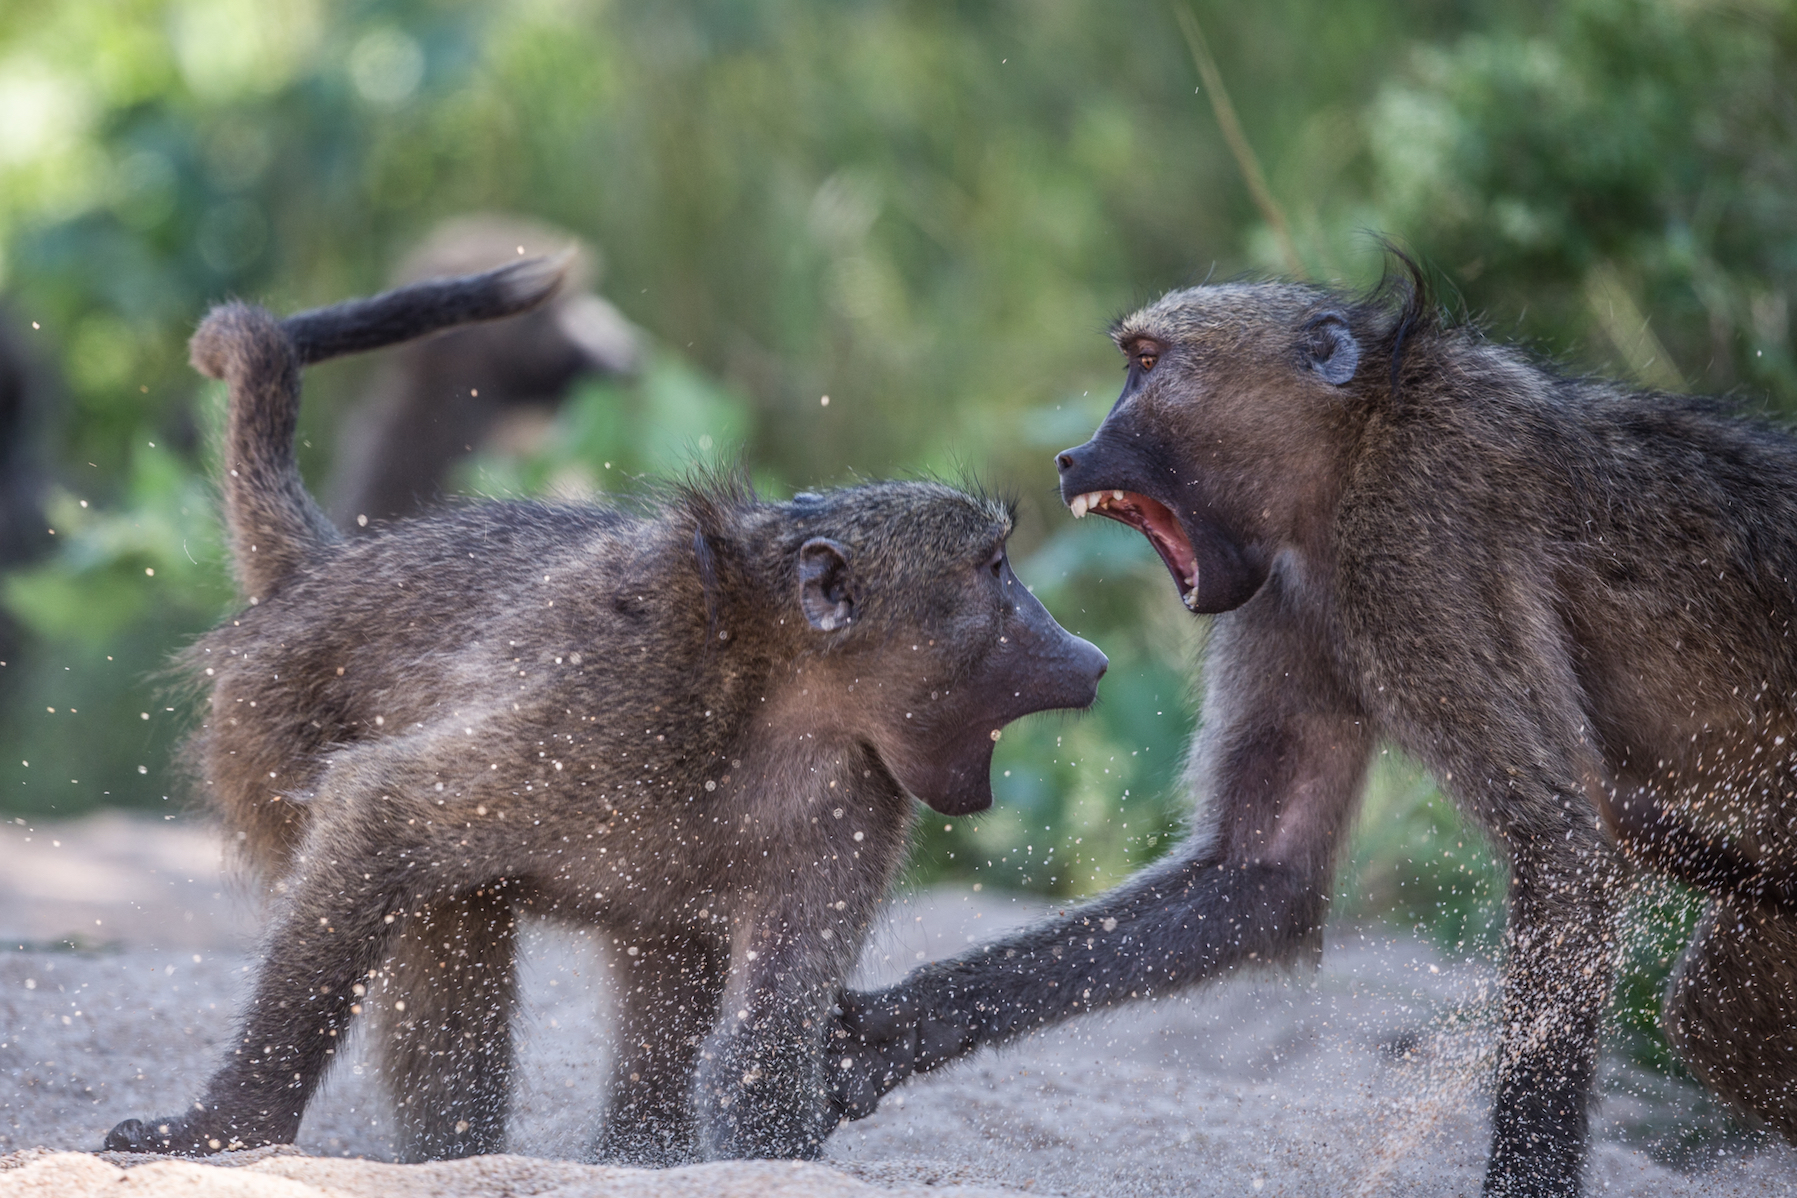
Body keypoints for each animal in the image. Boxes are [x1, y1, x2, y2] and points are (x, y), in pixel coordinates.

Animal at [102, 259, 1107, 1164]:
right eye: (994, 570)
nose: (1089, 657)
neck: (776, 697)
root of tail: (320, 574)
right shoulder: (597, 714)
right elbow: (376, 810)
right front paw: (226, 1129)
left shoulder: (855, 803)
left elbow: (764, 1038)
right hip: (267, 736)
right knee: (435, 913)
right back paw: (457, 1154)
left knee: (656, 950)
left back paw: (634, 1153)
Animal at [831, 254, 1797, 1197]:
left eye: (1145, 363)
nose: (1072, 457)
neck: (1356, 438)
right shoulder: (1281, 597)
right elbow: (1264, 873)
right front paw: (888, 1034)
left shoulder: (1409, 539)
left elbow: (1563, 846)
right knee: (1716, 1025)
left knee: (1701, 1016)